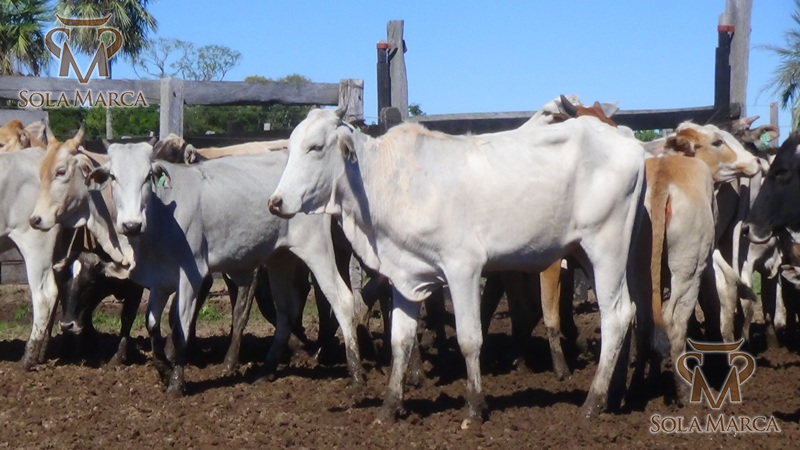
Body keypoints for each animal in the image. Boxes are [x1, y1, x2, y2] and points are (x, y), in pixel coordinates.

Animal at [269, 107, 646, 426]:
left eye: (315, 147)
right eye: (292, 146)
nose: (275, 201)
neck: (388, 182)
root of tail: (628, 140)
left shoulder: (463, 267)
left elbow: (469, 338)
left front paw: (475, 408)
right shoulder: (406, 275)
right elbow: (400, 341)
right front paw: (389, 409)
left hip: (606, 247)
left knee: (614, 316)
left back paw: (593, 403)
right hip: (587, 251)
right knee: (628, 311)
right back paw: (614, 394)